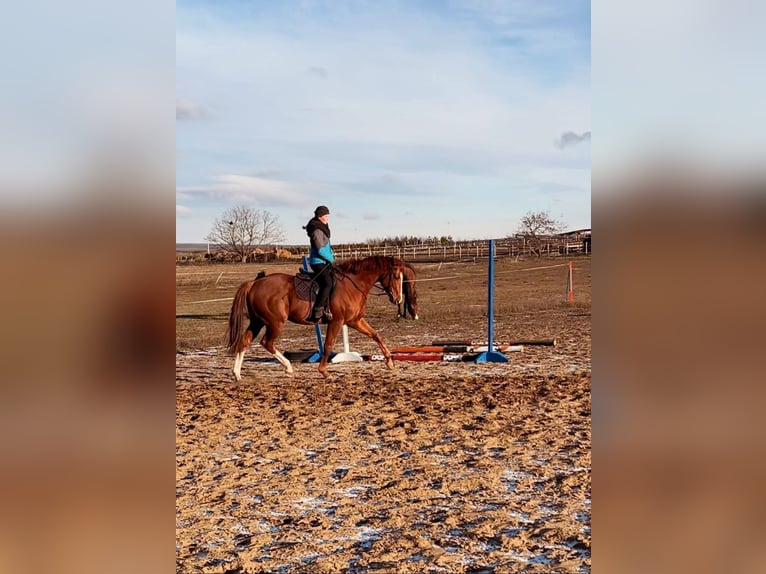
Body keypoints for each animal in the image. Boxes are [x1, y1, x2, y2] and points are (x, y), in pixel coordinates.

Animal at [226, 256, 408, 382]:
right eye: (396, 277)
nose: (398, 299)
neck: (353, 284)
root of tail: (254, 283)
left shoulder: (354, 320)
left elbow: (376, 335)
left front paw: (389, 362)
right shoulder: (337, 321)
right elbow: (328, 345)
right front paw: (324, 372)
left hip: (258, 321)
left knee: (245, 341)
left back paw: (237, 374)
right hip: (275, 323)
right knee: (267, 343)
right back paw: (288, 368)